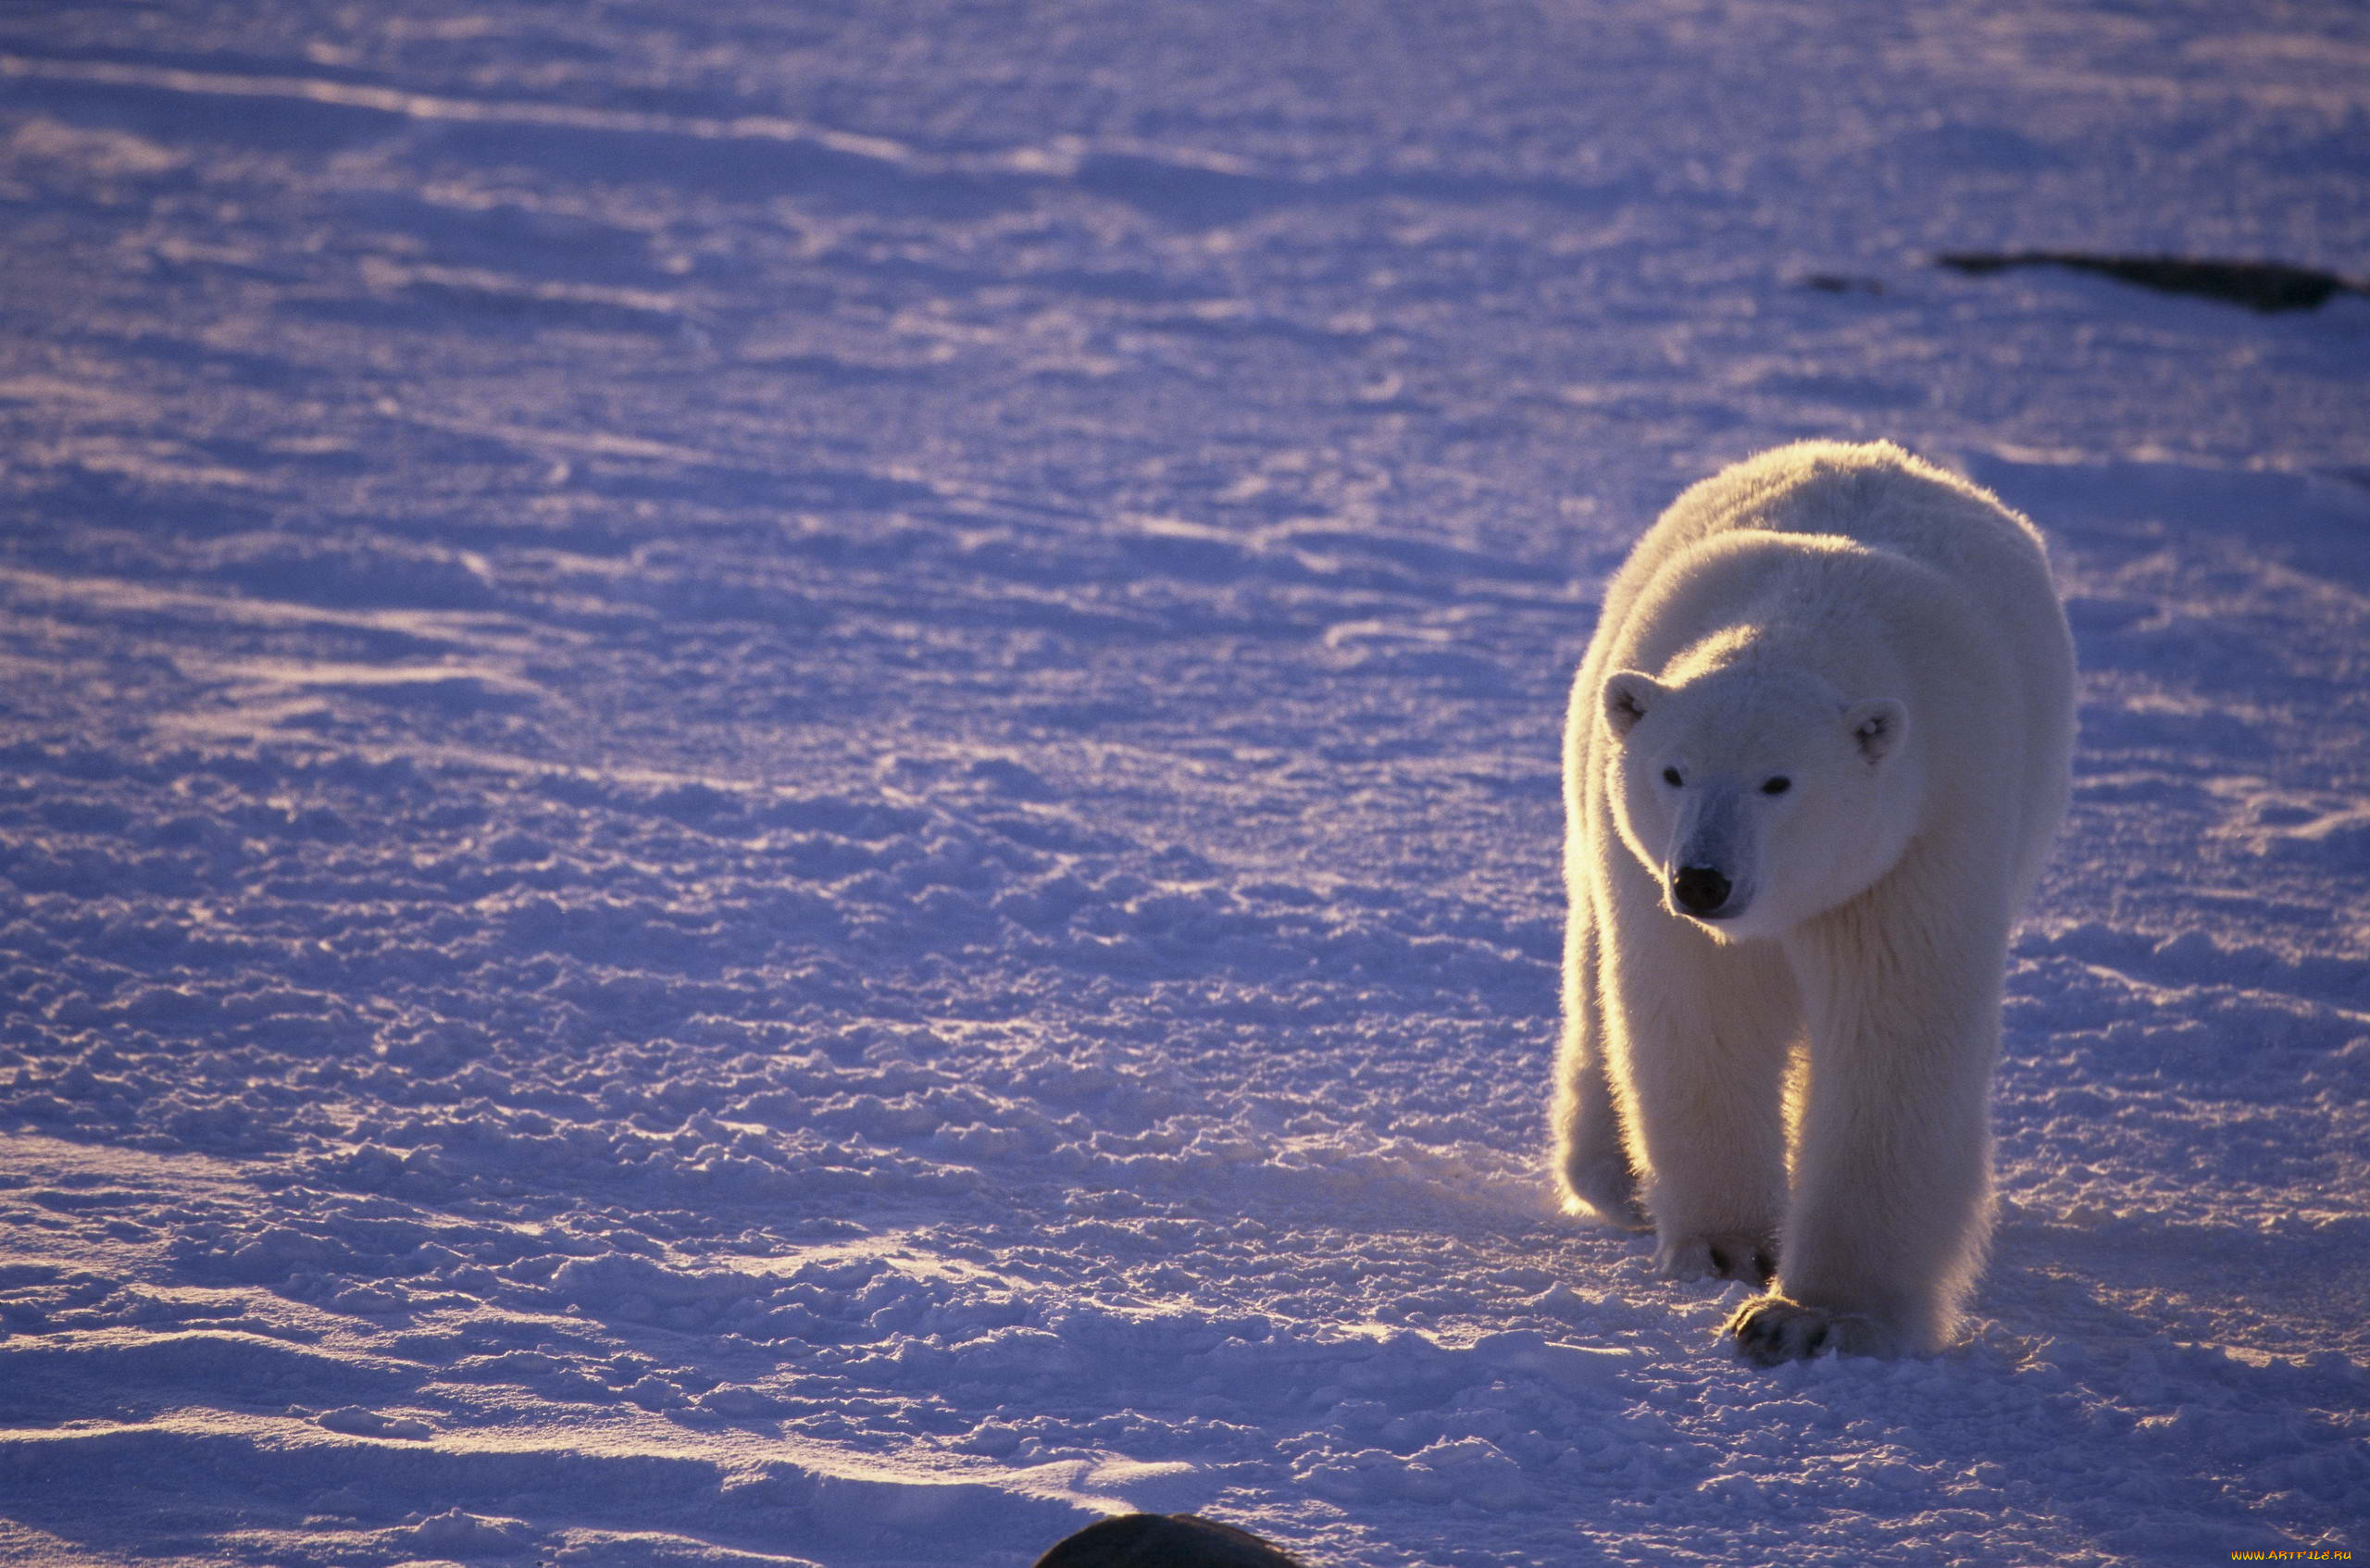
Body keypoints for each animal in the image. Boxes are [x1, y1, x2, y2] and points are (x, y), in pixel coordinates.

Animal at [1545, 442, 2066, 1363]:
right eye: (1673, 771)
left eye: (1778, 782)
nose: (1704, 880)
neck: (1810, 614)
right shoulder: (1653, 875)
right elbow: (1704, 1016)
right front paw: (1728, 1250)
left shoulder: (1919, 840)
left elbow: (1893, 1034)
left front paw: (1808, 1314)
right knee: (1598, 968)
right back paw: (1617, 1179)